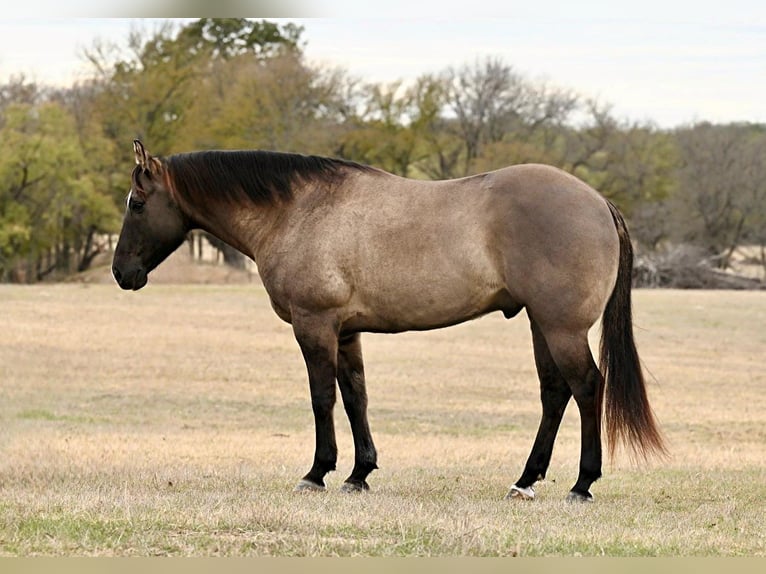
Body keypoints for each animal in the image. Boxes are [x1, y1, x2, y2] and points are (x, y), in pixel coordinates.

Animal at [112, 141, 664, 504]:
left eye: (137, 203)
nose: (122, 273)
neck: (299, 210)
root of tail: (598, 201)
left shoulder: (314, 325)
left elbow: (322, 398)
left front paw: (317, 472)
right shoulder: (346, 331)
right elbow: (355, 395)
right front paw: (359, 473)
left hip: (561, 328)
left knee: (587, 387)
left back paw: (582, 483)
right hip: (541, 325)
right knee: (555, 392)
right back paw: (526, 481)